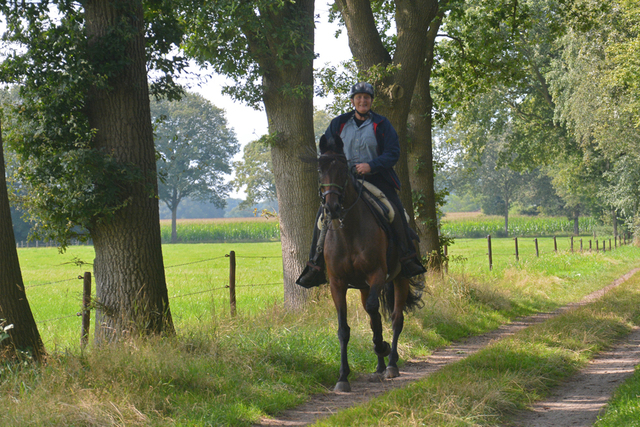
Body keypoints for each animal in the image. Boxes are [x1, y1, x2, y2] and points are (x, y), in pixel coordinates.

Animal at [316, 135, 424, 394]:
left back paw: (391, 363)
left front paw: (382, 347)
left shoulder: (377, 274)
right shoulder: (337, 283)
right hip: (364, 287)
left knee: (395, 319)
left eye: (342, 168)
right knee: (372, 313)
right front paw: (343, 377)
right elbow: (344, 329)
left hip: (399, 278)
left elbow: (378, 312)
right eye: (319, 169)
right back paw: (379, 365)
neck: (348, 231)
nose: (332, 208)